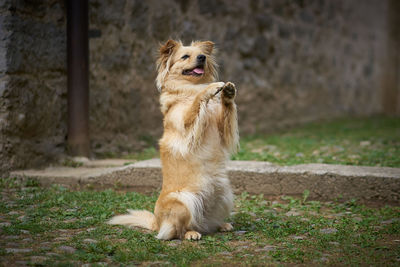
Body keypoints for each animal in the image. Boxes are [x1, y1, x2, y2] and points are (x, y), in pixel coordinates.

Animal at [108, 40, 239, 243]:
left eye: (202, 54)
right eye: (185, 56)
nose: (202, 57)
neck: (187, 89)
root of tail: (157, 222)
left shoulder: (223, 129)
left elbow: (227, 111)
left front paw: (228, 92)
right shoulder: (185, 125)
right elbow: (198, 99)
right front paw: (211, 88)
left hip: (225, 194)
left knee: (205, 223)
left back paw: (220, 225)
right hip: (184, 201)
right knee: (179, 229)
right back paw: (191, 233)